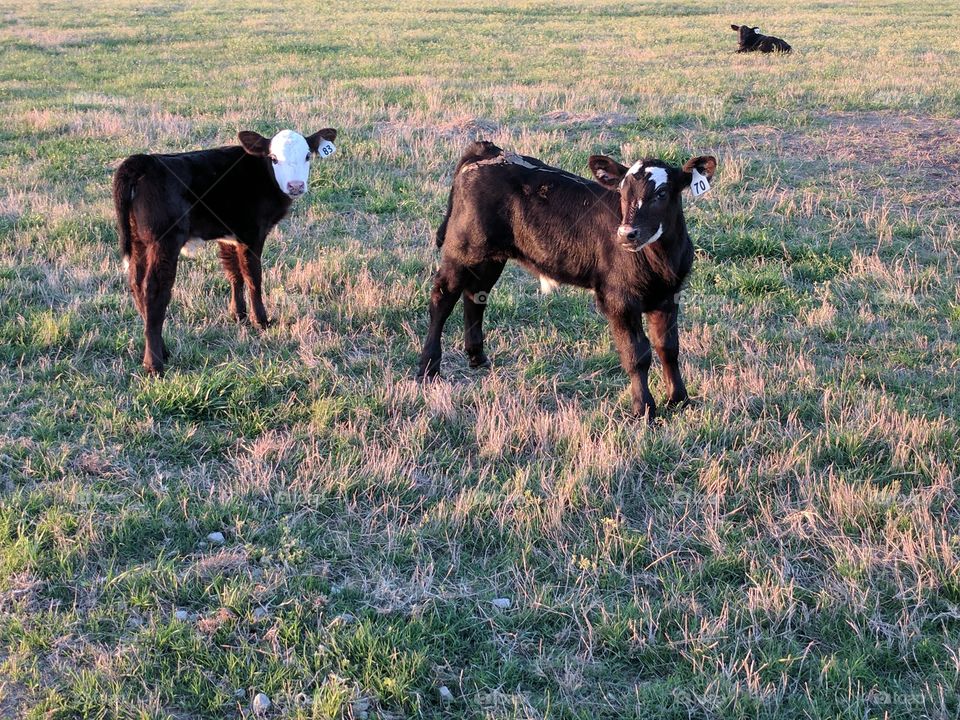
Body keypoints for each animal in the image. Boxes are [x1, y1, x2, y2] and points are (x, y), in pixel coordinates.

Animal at [113, 127, 337, 374]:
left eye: (307, 156)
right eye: (274, 158)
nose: (295, 186)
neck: (262, 175)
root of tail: (141, 161)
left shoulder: (229, 236)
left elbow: (234, 273)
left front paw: (239, 315)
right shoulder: (252, 233)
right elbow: (253, 276)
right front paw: (262, 321)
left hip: (139, 241)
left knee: (136, 284)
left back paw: (163, 350)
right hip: (164, 240)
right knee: (154, 290)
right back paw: (154, 363)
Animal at [416, 141, 716, 421]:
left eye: (662, 193)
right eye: (622, 192)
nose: (626, 233)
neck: (660, 260)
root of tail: (486, 149)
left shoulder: (668, 296)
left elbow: (669, 348)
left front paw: (679, 400)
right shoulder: (619, 299)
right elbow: (637, 354)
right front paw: (644, 409)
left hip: (491, 256)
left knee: (475, 295)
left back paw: (477, 356)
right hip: (462, 248)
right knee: (442, 297)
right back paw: (428, 367)